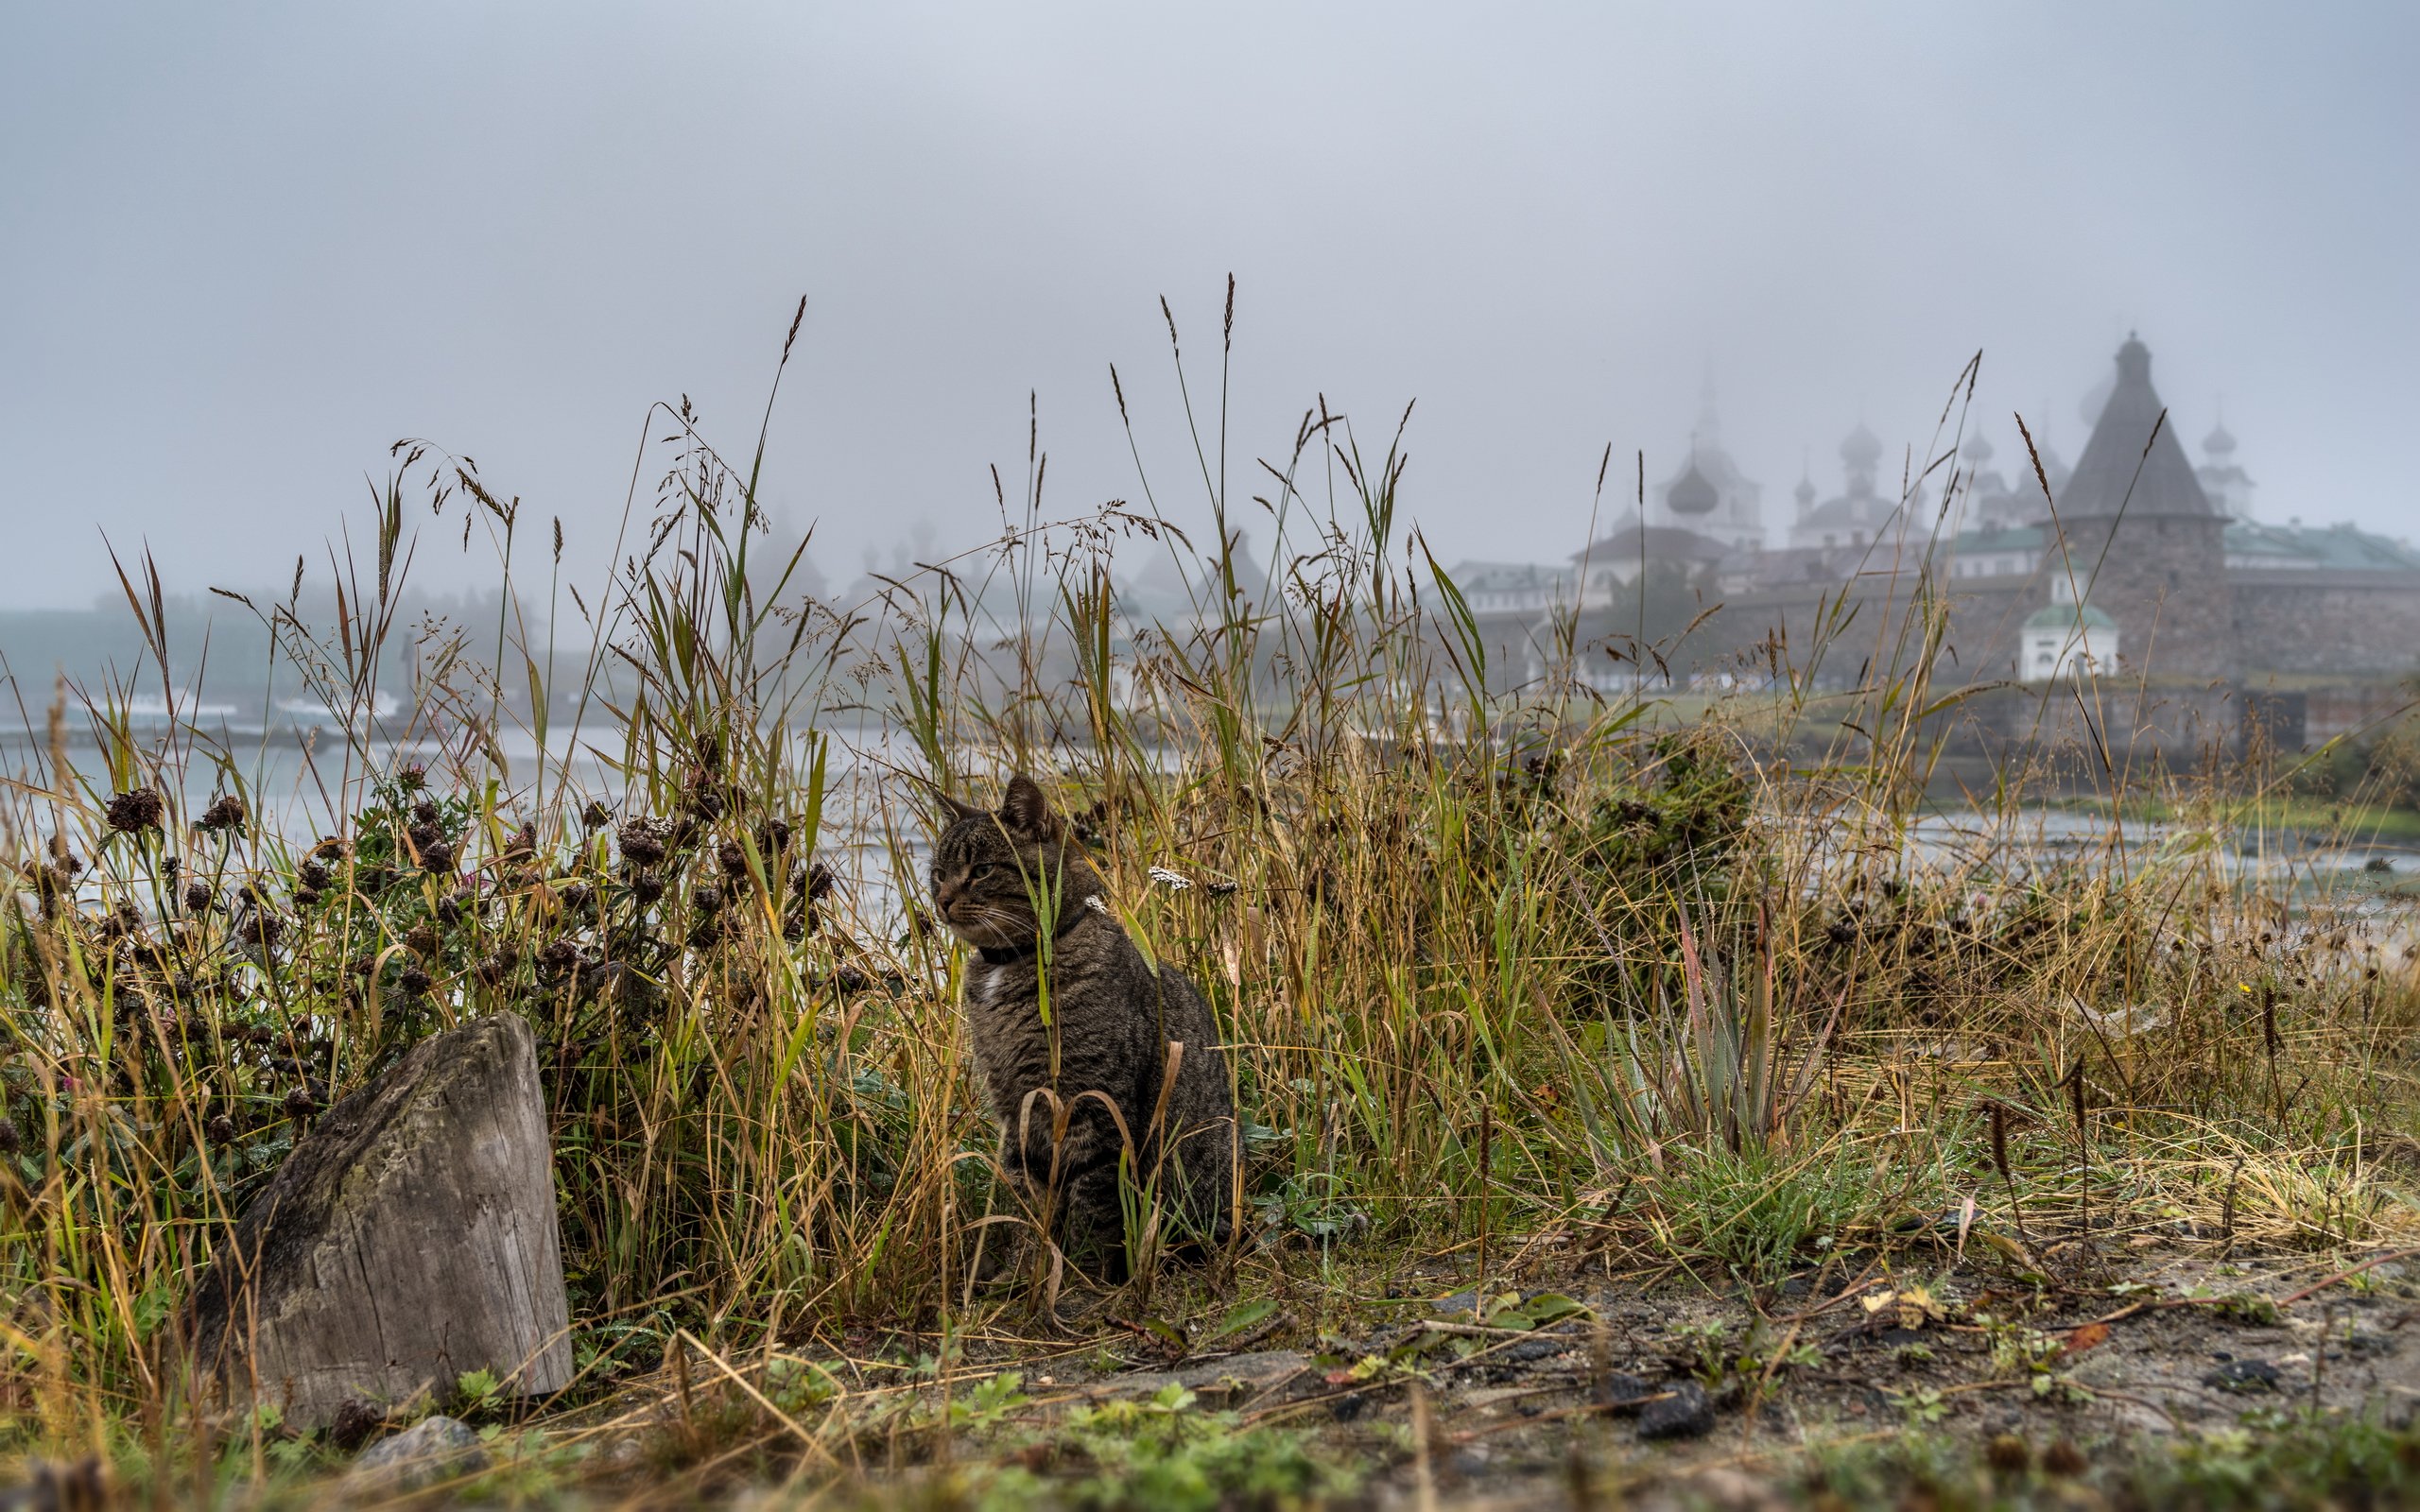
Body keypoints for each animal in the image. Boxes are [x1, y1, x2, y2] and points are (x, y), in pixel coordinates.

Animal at [924, 774, 1229, 1267]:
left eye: (982, 870)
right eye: (938, 872)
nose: (942, 900)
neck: (1011, 964)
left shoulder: (1095, 1106)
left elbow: (1093, 1205)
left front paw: (1084, 1274)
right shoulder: (1017, 1109)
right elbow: (1028, 1198)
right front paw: (1027, 1264)